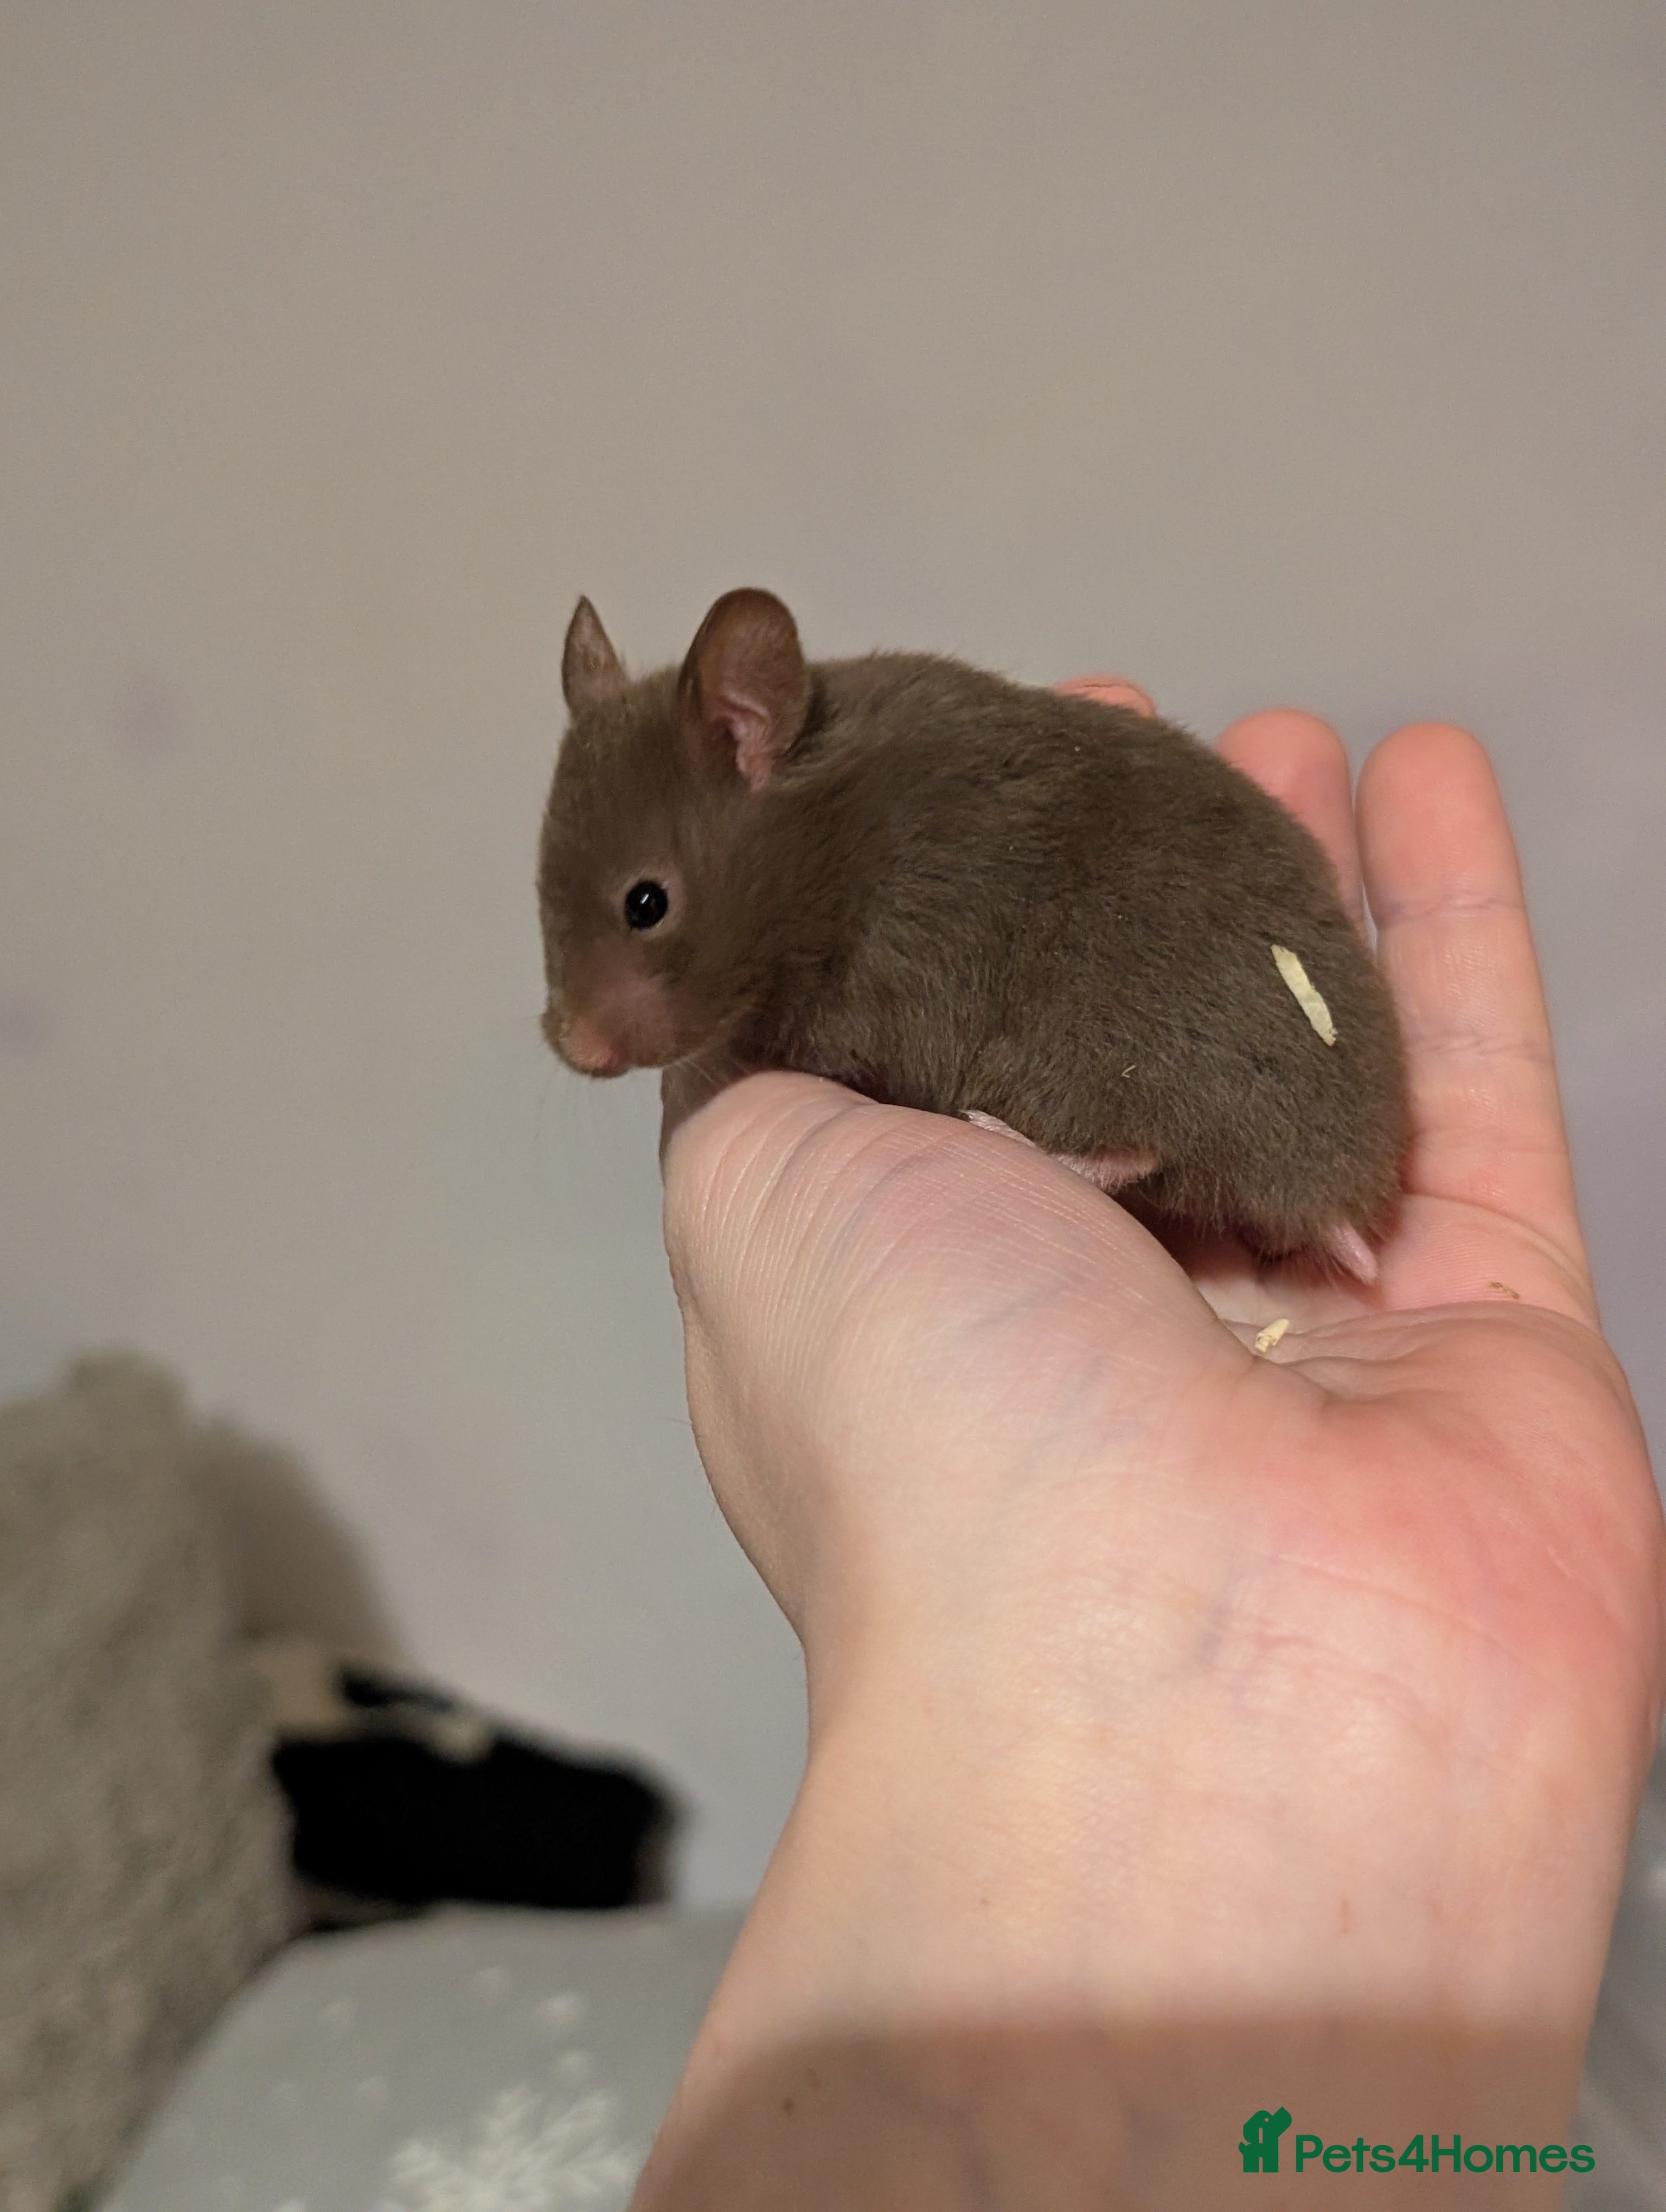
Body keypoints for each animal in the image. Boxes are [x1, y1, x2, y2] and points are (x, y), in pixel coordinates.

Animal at [537, 587, 1406, 1275]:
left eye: (646, 904)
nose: (574, 1050)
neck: (831, 848)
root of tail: (1341, 1190)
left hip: (1101, 1055)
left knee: (1140, 1147)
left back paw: (1001, 1131)